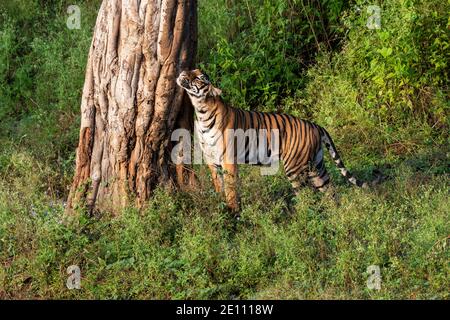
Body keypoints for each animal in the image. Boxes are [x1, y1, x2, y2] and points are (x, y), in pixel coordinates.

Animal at [176, 69, 376, 211]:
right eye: (193, 70)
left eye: (199, 76)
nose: (183, 72)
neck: (201, 112)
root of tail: (315, 125)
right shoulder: (212, 161)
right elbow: (218, 185)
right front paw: (221, 204)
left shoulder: (228, 161)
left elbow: (231, 189)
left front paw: (233, 212)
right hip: (316, 165)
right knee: (330, 191)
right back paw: (334, 215)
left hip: (295, 167)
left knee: (306, 196)